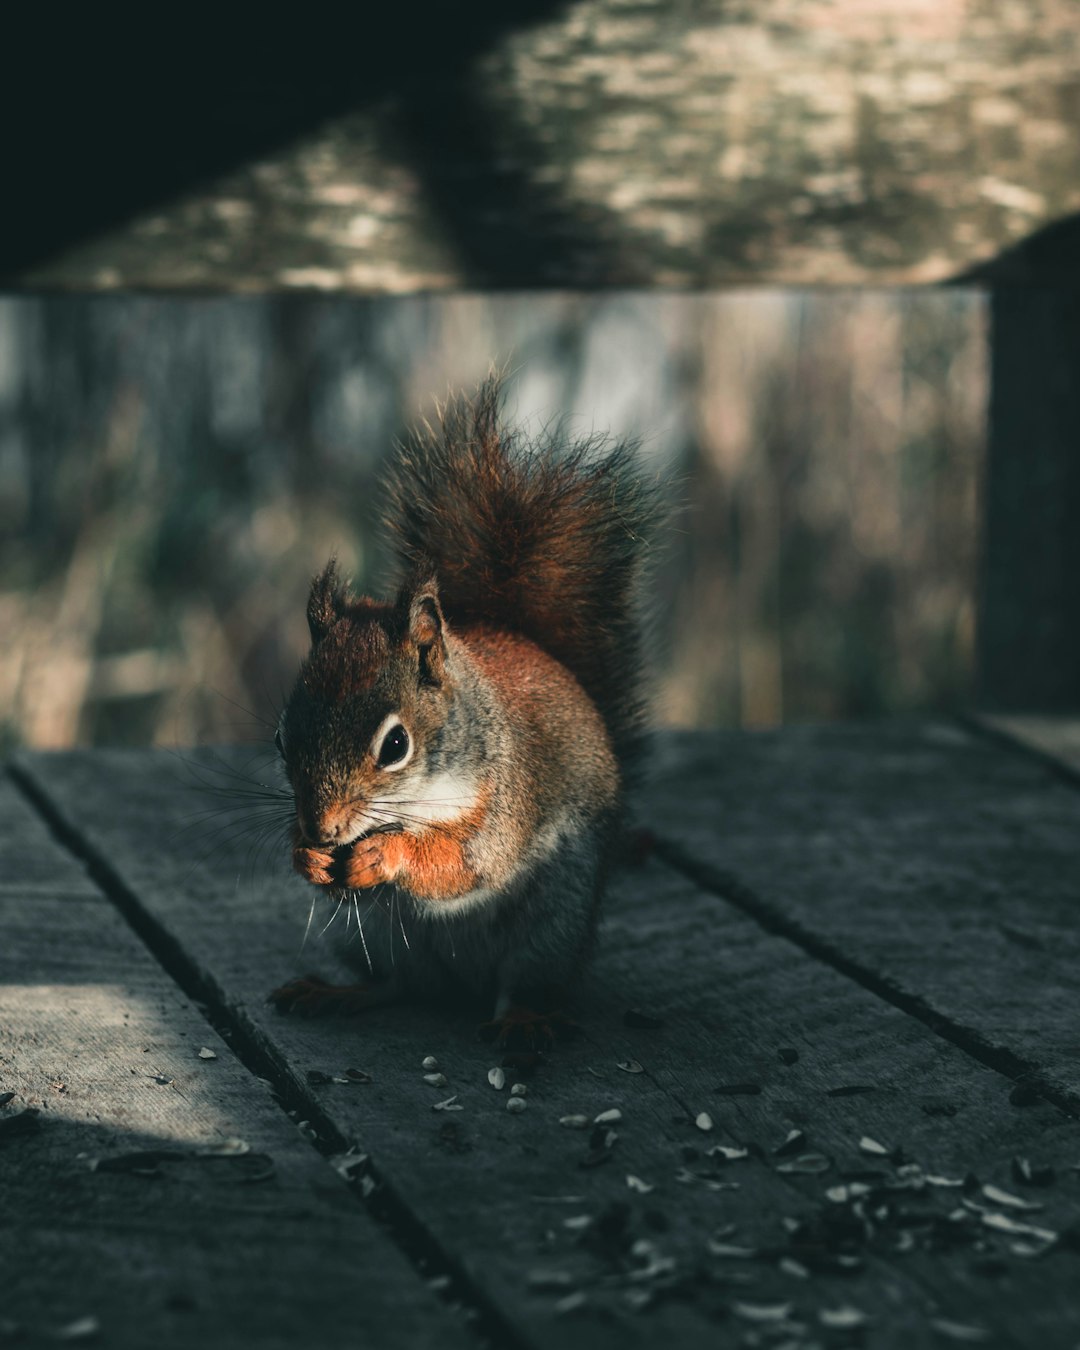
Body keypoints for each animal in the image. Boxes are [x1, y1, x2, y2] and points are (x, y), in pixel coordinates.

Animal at [270, 380, 658, 1042]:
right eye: (282, 740)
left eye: (395, 745)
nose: (322, 829)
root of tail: (459, 986)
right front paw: (307, 856)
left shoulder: (505, 796)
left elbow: (466, 862)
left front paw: (386, 855)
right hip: (376, 938)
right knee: (398, 983)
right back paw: (339, 991)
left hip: (551, 926)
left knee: (519, 982)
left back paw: (523, 1020)